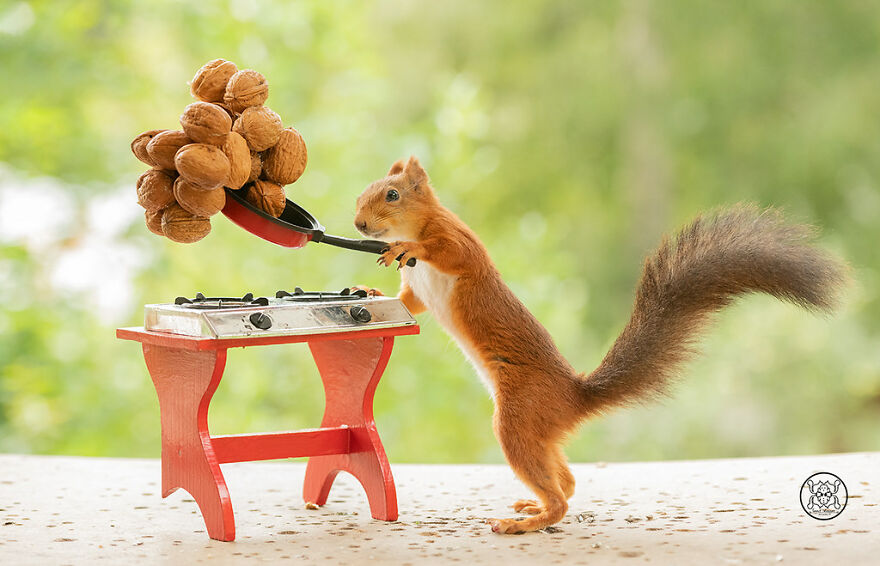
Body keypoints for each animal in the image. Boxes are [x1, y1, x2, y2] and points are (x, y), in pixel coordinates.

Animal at [352, 156, 848, 534]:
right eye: (363, 192)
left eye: (392, 195)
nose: (358, 223)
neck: (417, 225)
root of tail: (574, 397)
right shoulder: (416, 290)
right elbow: (408, 301)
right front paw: (372, 292)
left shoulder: (459, 241)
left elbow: (448, 253)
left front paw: (404, 247)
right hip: (538, 431)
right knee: (567, 483)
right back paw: (533, 507)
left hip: (517, 420)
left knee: (562, 499)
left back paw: (527, 522)